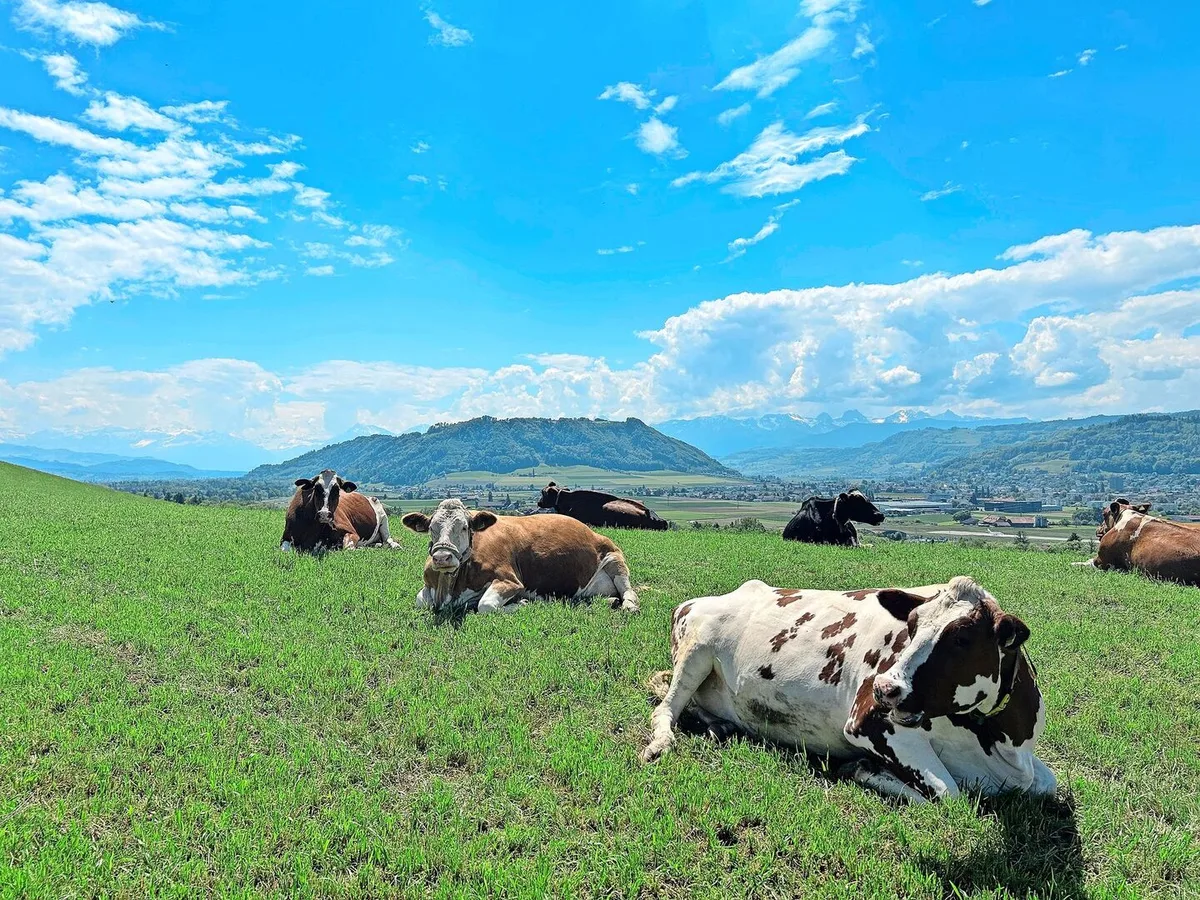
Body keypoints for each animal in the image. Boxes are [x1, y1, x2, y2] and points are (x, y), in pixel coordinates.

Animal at [401, 499, 640, 614]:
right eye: (432, 528)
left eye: (464, 527)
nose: (442, 557)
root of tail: (591, 532)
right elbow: (420, 601)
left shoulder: (510, 580)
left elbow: (486, 605)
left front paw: (522, 603)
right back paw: (609, 600)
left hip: (614, 558)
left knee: (628, 590)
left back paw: (629, 605)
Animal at [641, 576, 1056, 803]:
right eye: (911, 624)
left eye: (963, 638)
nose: (885, 687)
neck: (1001, 742)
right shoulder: (869, 723)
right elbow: (949, 793)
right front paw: (864, 768)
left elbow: (1049, 783)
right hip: (696, 650)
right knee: (665, 709)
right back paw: (661, 744)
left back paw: (719, 724)